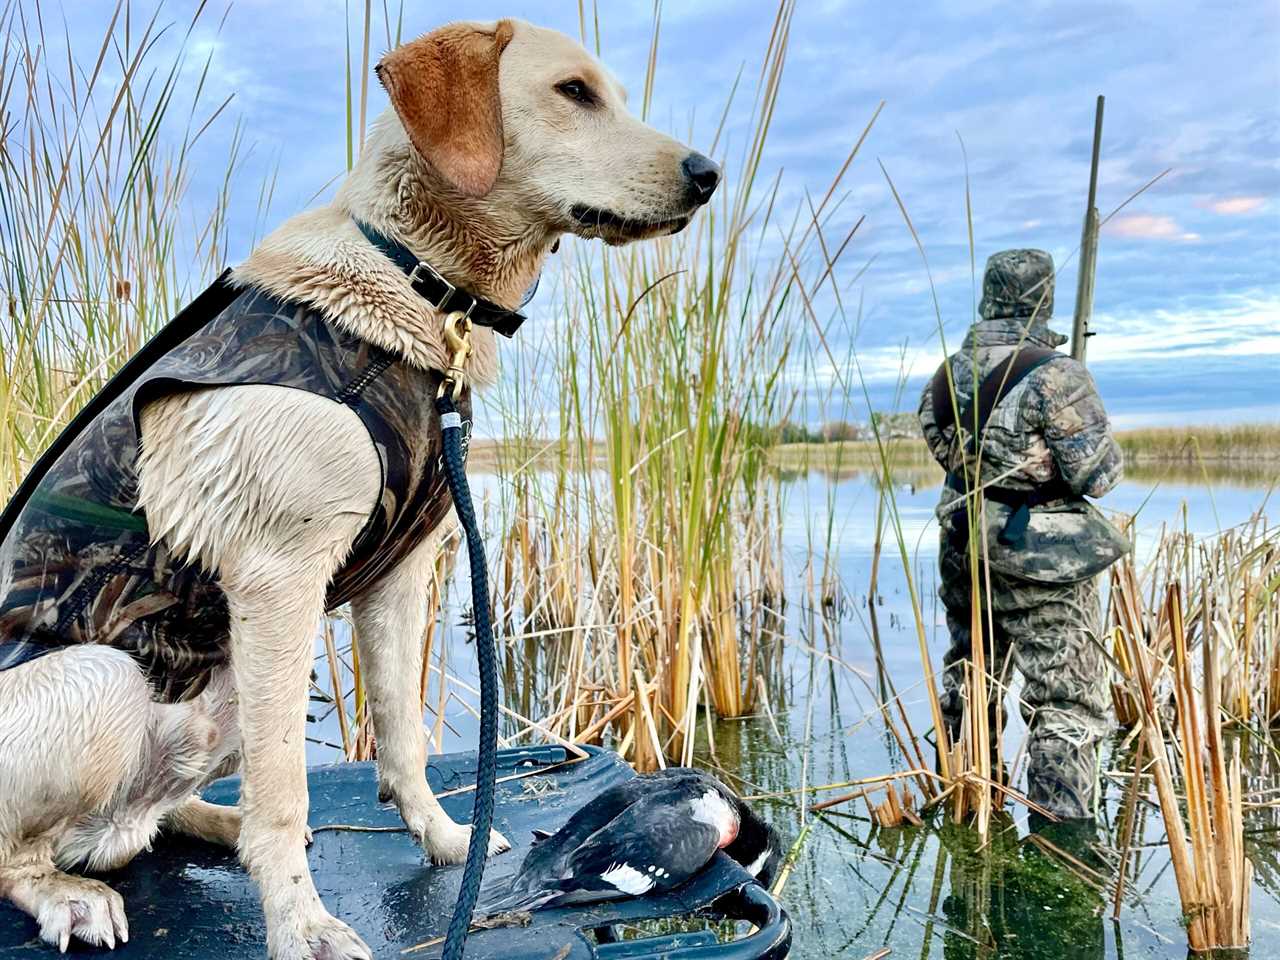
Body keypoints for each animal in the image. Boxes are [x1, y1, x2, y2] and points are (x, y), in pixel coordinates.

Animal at [0, 16, 716, 960]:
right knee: (25, 853)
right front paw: (302, 926)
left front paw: (445, 840)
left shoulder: (402, 575)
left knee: (151, 817)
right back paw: (71, 894)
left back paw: (211, 824)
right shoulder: (279, 580)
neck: (419, 285)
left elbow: (403, 737)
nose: (706, 175)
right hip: (110, 678)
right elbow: (286, 786)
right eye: (574, 92)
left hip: (221, 692)